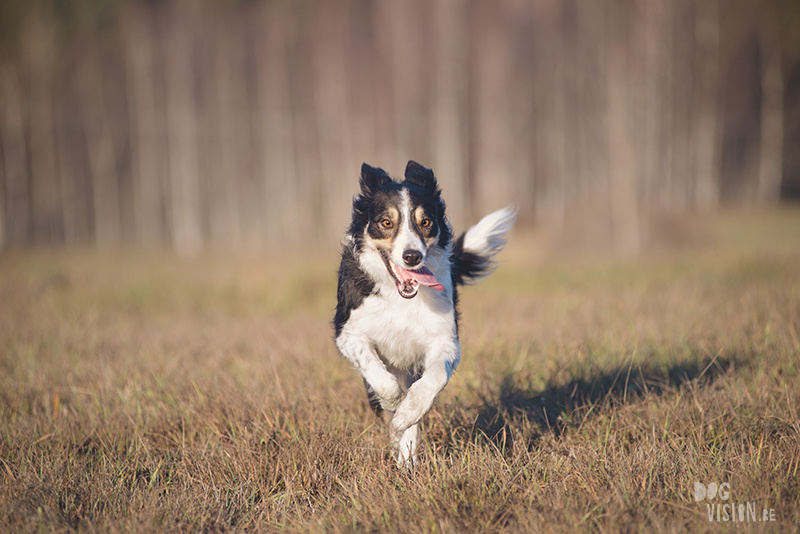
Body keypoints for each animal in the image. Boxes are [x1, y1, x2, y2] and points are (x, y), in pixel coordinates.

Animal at [332, 161, 516, 466]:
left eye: (426, 222)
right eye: (386, 222)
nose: (412, 256)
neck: (400, 297)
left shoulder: (444, 340)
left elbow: (433, 379)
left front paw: (409, 412)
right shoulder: (348, 333)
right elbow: (381, 378)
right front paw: (395, 403)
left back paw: (406, 460)